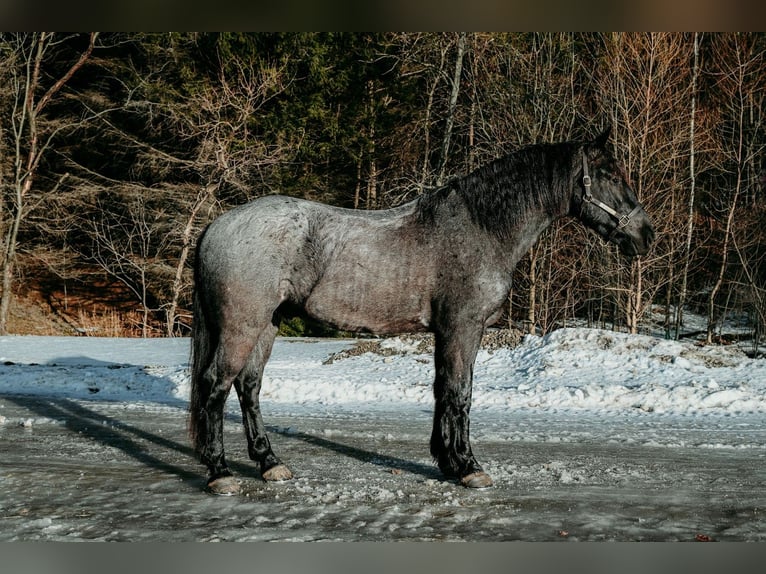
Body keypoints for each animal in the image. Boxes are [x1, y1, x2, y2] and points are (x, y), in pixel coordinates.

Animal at [189, 127, 654, 495]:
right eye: (610, 175)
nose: (645, 235)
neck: (481, 227)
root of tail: (216, 226)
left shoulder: (449, 331)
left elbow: (442, 390)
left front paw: (447, 461)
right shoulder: (462, 327)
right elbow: (460, 393)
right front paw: (468, 467)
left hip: (267, 325)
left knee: (248, 387)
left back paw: (270, 464)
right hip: (242, 325)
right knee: (216, 385)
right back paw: (220, 472)